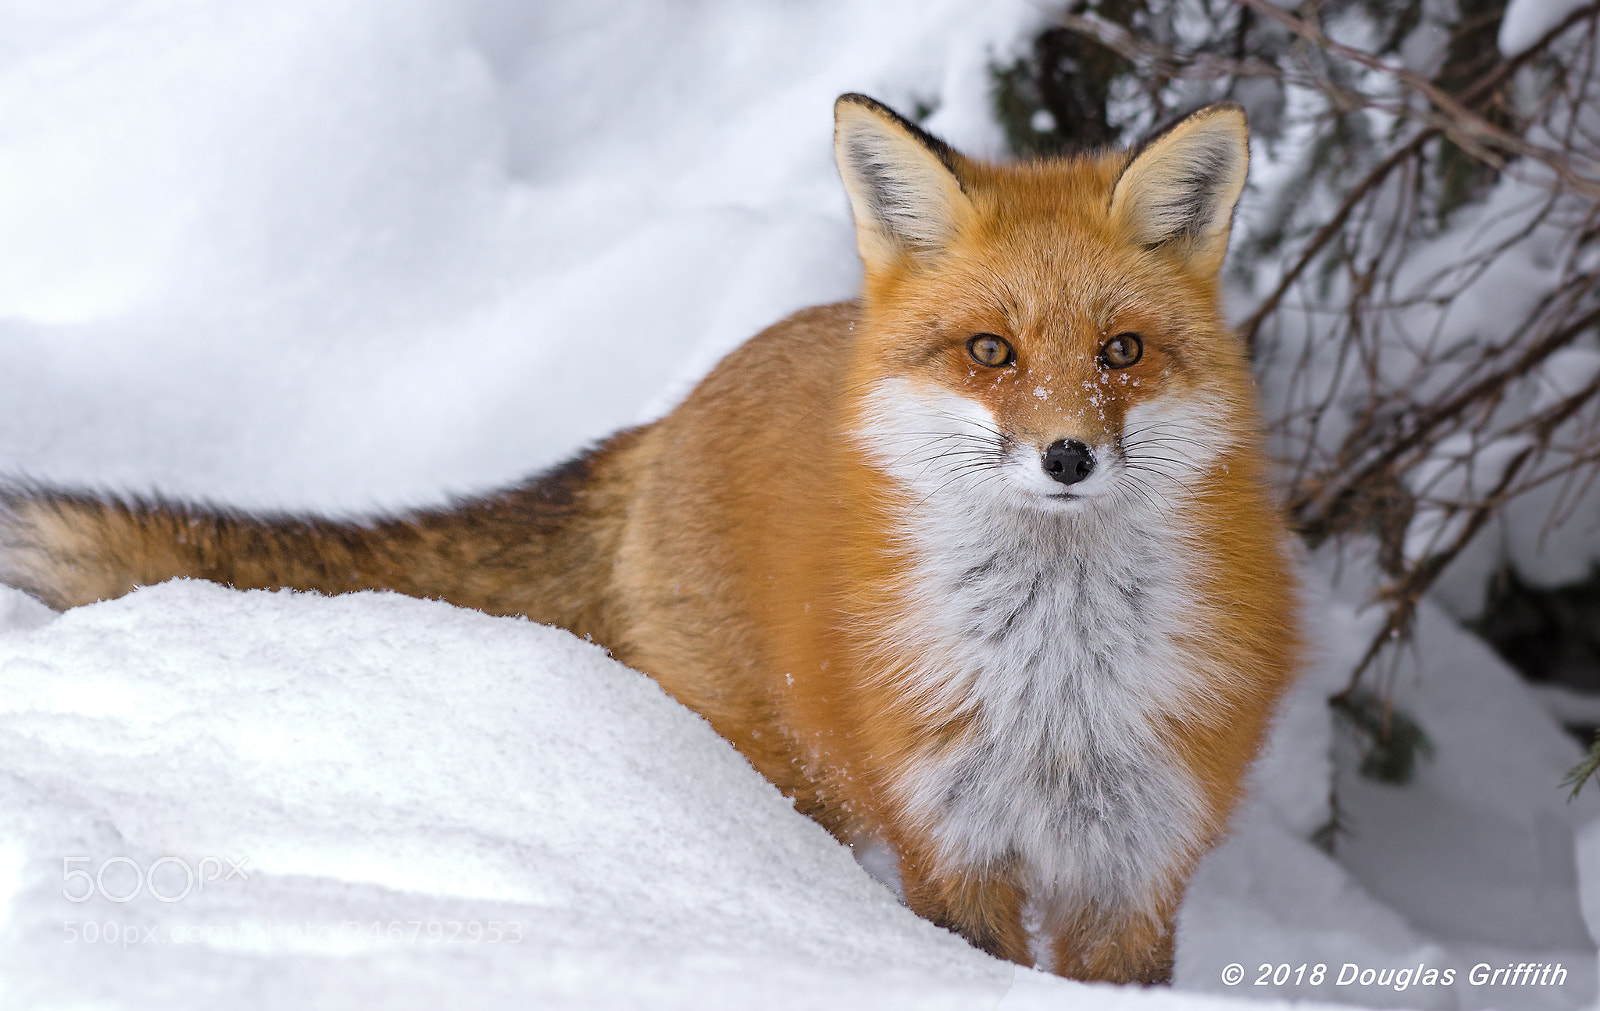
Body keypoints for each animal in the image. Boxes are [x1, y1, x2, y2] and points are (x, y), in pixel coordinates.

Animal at [0, 94, 1297, 983]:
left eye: (1121, 352)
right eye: (991, 351)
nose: (1066, 457)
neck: (1054, 699)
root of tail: (678, 407)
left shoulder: (1133, 869)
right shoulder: (951, 847)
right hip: (780, 776)